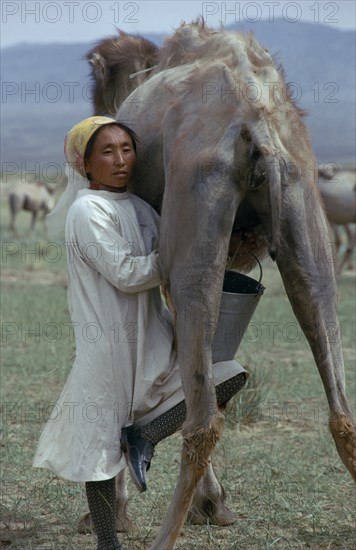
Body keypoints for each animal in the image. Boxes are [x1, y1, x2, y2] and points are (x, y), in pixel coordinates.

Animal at [85, 20, 356, 548]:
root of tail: (257, 123)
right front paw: (216, 505)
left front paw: (130, 512)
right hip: (303, 201)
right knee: (340, 404)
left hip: (196, 213)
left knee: (203, 419)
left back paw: (163, 534)